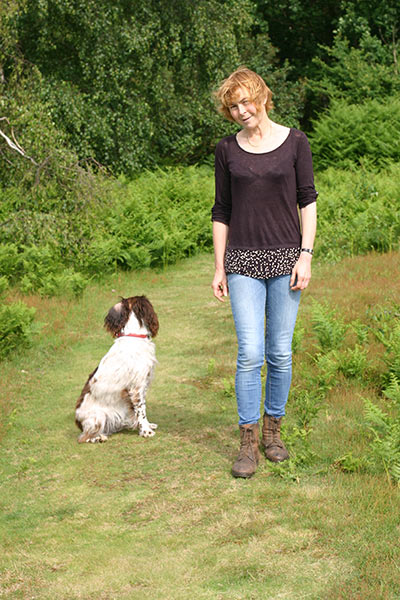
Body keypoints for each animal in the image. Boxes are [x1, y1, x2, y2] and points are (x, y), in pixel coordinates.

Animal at [74, 296, 159, 440]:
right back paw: (99, 438)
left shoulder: (143, 384)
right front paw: (146, 431)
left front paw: (148, 425)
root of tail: (78, 423)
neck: (133, 336)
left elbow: (143, 407)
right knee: (84, 437)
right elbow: (141, 410)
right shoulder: (136, 387)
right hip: (98, 417)